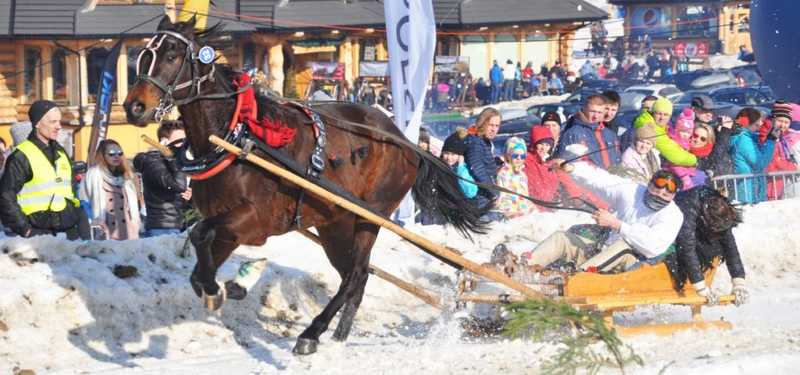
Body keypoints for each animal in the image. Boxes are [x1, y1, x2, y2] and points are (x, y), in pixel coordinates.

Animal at [122, 14, 484, 356]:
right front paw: (224, 287)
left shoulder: (255, 220)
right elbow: (200, 262)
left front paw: (226, 285)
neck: (237, 138)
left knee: (355, 274)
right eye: (143, 54)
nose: (134, 106)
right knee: (356, 274)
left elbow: (201, 234)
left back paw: (312, 333)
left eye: (171, 54)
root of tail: (402, 138)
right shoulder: (228, 226)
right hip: (335, 223)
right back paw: (338, 335)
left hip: (371, 215)